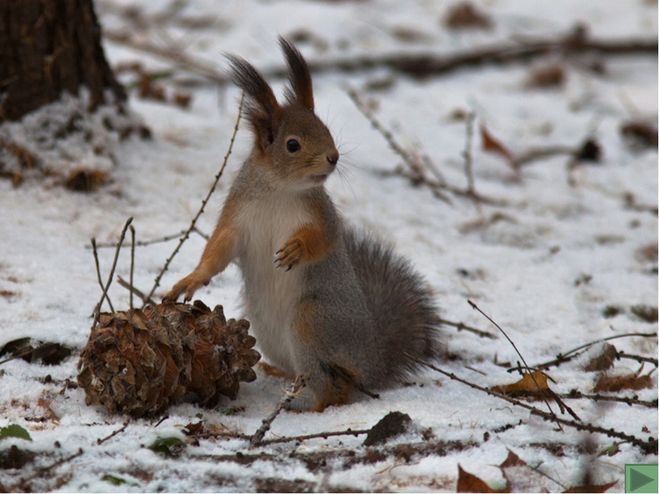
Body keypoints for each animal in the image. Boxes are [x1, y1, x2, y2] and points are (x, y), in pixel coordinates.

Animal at [165, 38, 444, 412]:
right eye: (292, 144)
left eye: (326, 130)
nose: (333, 157)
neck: (280, 189)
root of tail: (374, 359)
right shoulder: (237, 216)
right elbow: (219, 251)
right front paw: (192, 278)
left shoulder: (321, 214)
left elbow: (323, 239)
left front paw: (296, 249)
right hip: (269, 330)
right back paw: (279, 375)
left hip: (313, 321)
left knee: (337, 389)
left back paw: (314, 407)